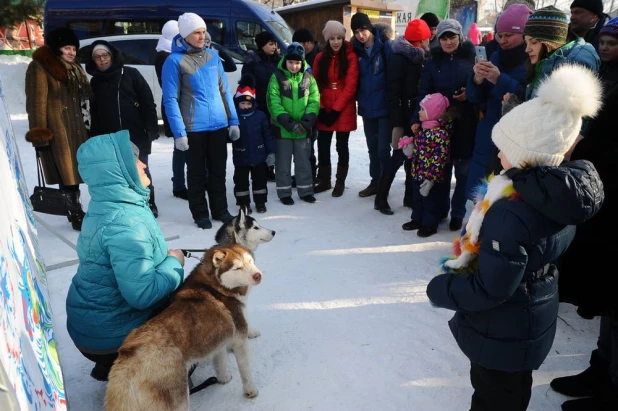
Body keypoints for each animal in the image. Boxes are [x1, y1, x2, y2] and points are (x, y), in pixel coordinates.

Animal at [104, 243, 262, 410]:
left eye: (250, 261)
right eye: (237, 268)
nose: (258, 276)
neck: (216, 285)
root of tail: (127, 362)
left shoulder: (219, 338)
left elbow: (221, 363)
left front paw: (224, 378)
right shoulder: (239, 339)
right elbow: (246, 371)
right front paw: (251, 391)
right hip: (179, 400)